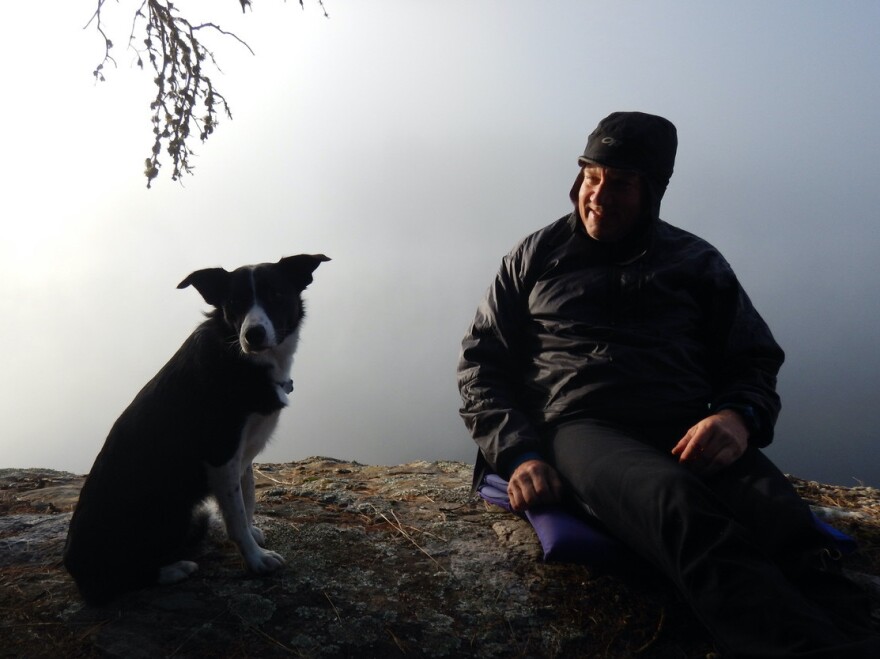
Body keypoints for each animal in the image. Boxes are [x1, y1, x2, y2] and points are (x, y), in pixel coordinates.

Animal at [62, 255, 330, 604]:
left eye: (275, 294)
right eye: (234, 302)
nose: (253, 334)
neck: (239, 357)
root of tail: (72, 566)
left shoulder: (242, 455)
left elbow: (247, 501)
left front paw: (253, 535)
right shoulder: (220, 454)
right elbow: (235, 516)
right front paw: (255, 560)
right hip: (166, 511)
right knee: (112, 583)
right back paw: (176, 570)